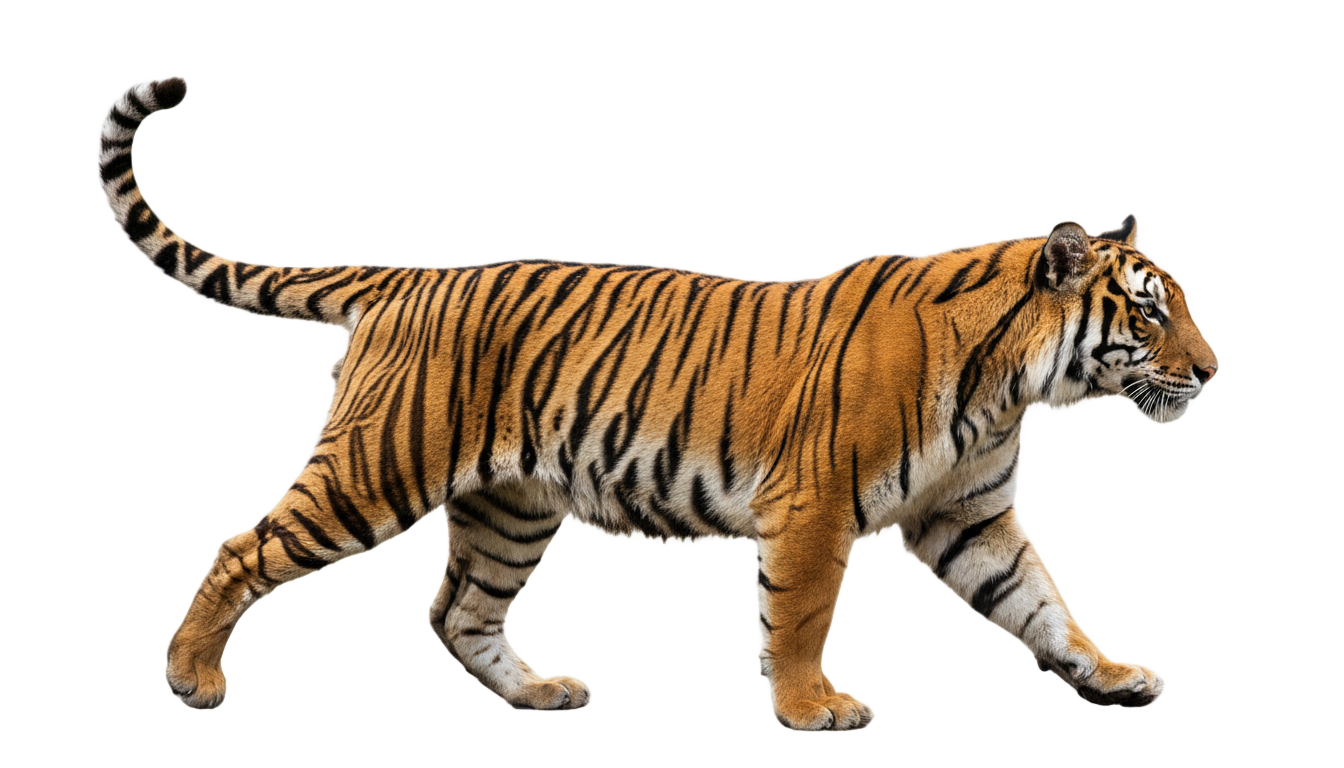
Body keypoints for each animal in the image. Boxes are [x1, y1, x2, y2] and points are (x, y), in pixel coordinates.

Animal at [95, 77, 1217, 730]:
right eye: (1150, 313)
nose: (1212, 373)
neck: (1008, 384)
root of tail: (409, 275)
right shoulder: (811, 508)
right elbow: (802, 614)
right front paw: (813, 710)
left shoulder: (966, 512)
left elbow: (1040, 605)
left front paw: (1111, 672)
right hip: (379, 466)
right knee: (248, 549)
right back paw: (192, 678)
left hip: (510, 509)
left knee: (456, 610)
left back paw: (539, 693)